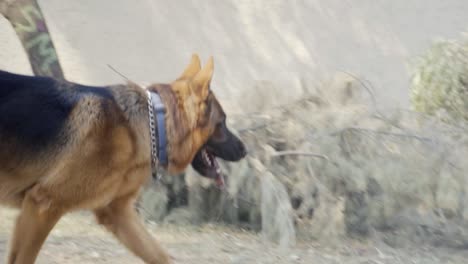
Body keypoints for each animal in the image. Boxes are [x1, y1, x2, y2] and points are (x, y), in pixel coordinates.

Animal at [0, 54, 247, 264]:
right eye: (223, 122)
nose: (245, 150)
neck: (154, 127)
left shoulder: (118, 214)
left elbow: (159, 255)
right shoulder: (43, 206)